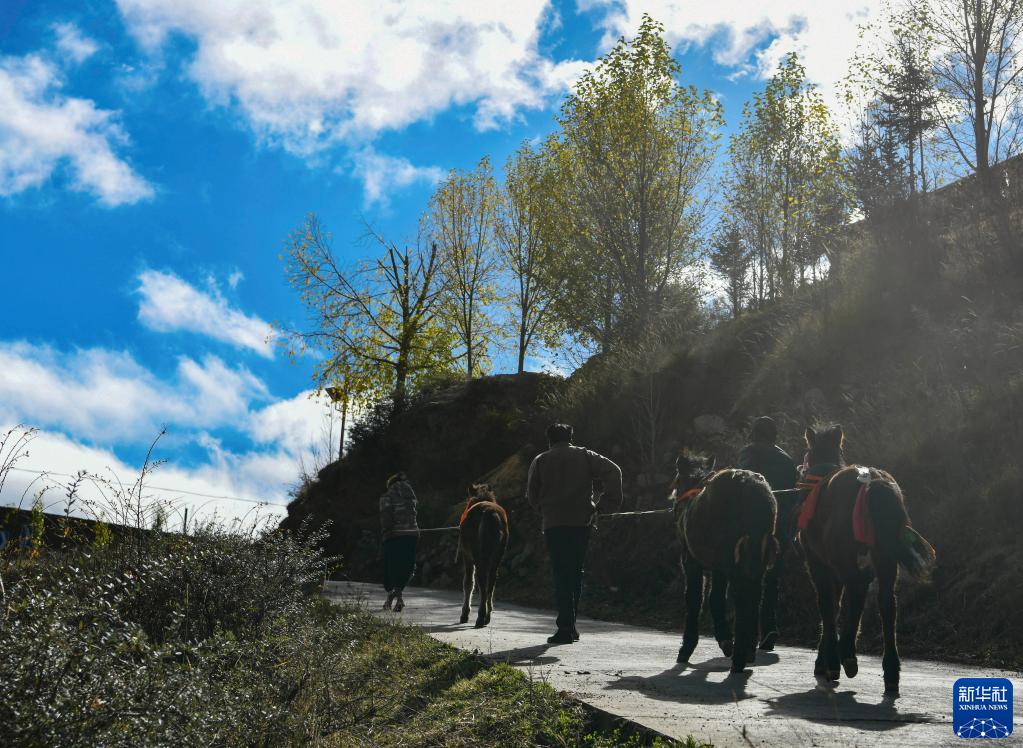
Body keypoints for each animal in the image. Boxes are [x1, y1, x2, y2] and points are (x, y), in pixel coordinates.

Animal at [457, 483, 509, 628]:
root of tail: (492, 515)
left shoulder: (467, 555)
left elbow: (468, 583)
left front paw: (465, 614)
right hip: (497, 556)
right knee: (491, 582)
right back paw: (487, 617)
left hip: (478, 554)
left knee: (482, 581)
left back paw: (480, 617)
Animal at [671, 450, 779, 673]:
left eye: (677, 480)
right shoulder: (718, 567)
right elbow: (716, 598)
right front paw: (725, 640)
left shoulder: (691, 560)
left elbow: (695, 599)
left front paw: (687, 647)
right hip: (756, 557)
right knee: (754, 595)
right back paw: (748, 651)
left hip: (734, 558)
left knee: (743, 597)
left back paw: (739, 658)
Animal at [797, 424, 936, 696]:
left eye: (807, 455)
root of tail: (871, 481)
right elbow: (835, 606)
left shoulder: (818, 563)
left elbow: (828, 606)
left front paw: (826, 661)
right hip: (884, 557)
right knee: (887, 603)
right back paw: (890, 670)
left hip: (845, 558)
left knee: (858, 591)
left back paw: (846, 656)